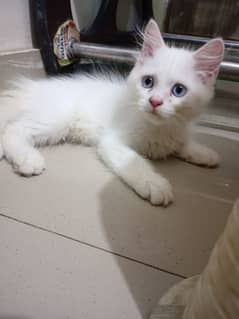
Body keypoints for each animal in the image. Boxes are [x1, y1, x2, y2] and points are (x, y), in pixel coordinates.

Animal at [0, 18, 224, 206]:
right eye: (148, 82)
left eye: (179, 90)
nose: (154, 101)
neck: (159, 128)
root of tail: (31, 88)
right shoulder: (112, 141)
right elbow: (134, 162)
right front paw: (154, 184)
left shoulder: (177, 131)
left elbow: (182, 143)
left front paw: (203, 153)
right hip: (55, 120)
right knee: (13, 130)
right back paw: (28, 159)